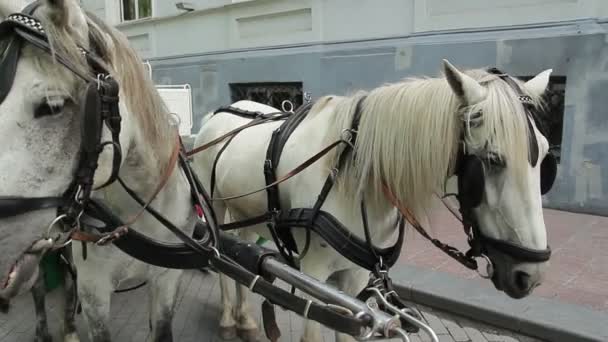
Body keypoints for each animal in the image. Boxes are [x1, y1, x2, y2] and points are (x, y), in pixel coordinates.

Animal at [194, 60, 556, 340]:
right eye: (492, 160)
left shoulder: (353, 277)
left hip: (243, 211)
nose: (531, 275)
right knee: (218, 253)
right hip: (215, 205)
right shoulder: (313, 273)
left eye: (545, 159)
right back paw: (227, 319)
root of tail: (213, 116)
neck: (350, 174)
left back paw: (244, 319)